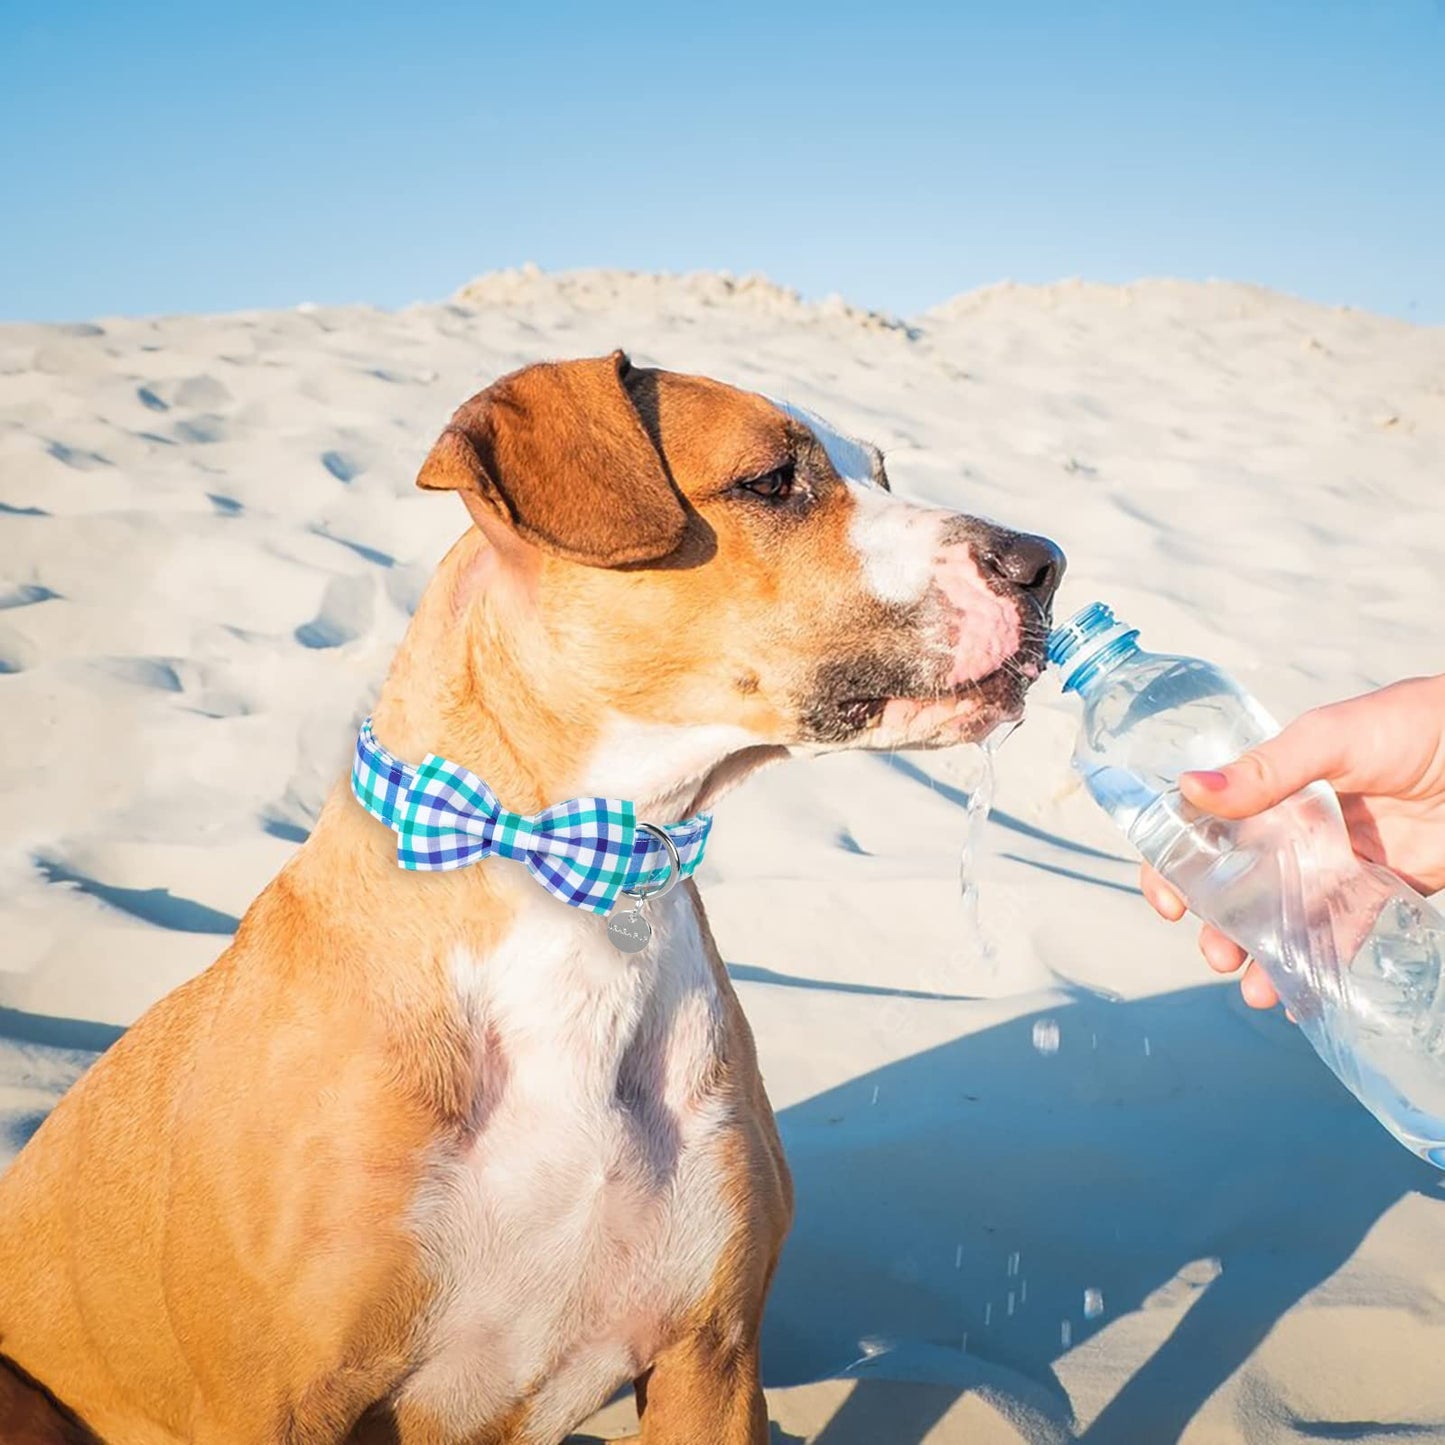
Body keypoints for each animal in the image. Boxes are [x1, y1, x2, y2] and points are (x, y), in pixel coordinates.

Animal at [0, 352, 1063, 1445]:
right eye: (771, 480)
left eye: (883, 473)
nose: (1043, 563)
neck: (592, 878)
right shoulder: (272, 1404)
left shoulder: (713, 1359)